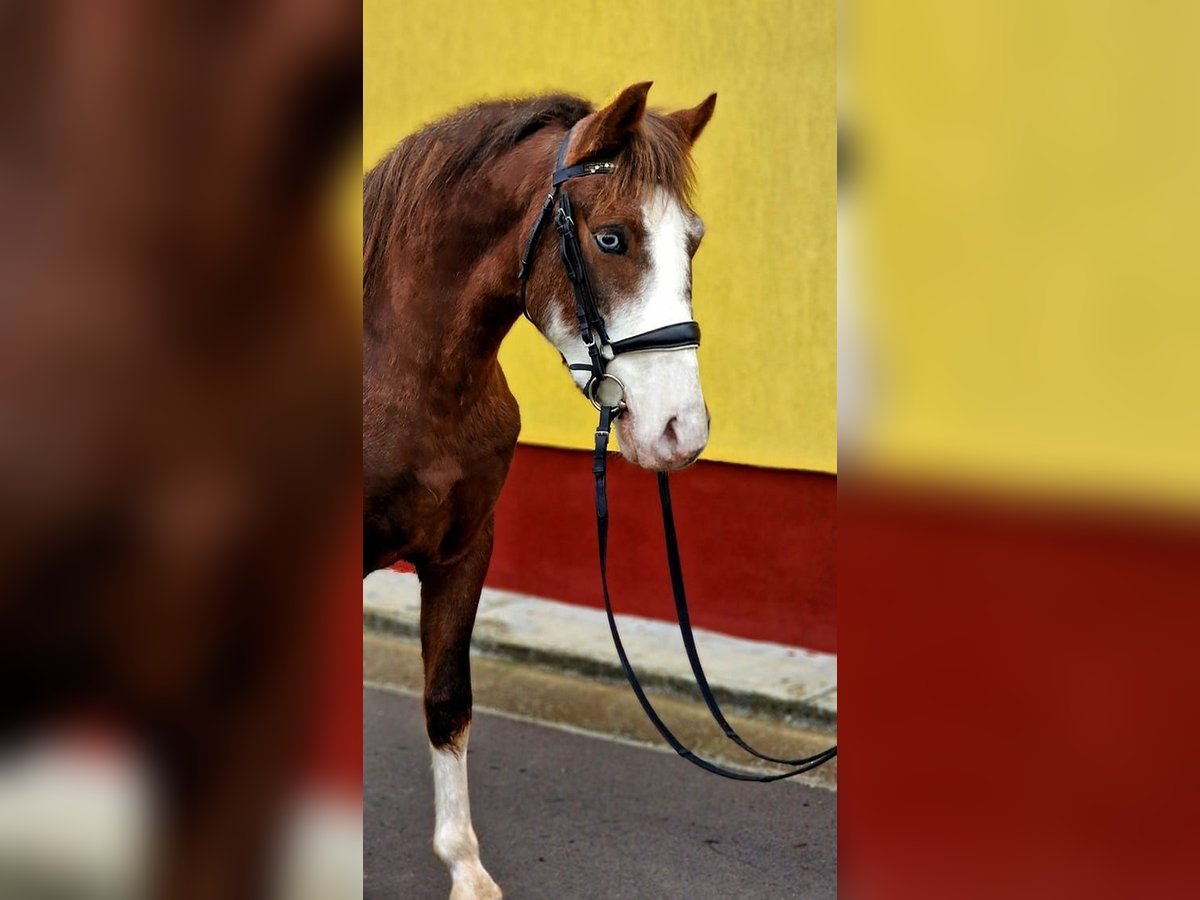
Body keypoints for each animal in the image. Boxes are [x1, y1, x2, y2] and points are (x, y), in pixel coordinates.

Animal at [363, 81, 716, 898]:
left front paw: (465, 868)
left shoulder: (464, 551)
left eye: (693, 240)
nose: (681, 429)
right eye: (612, 239)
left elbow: (447, 701)